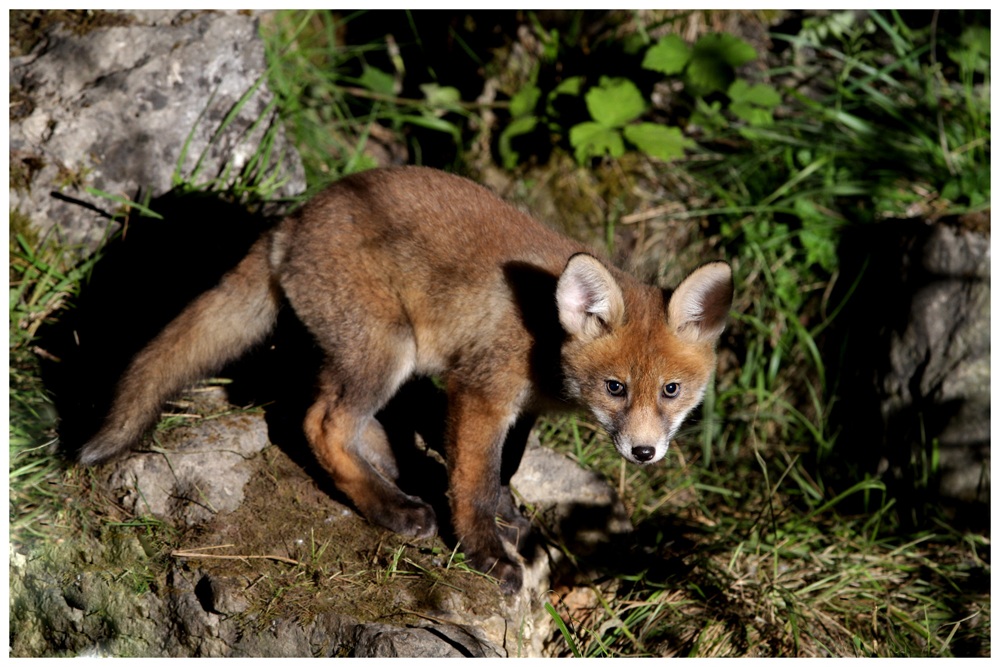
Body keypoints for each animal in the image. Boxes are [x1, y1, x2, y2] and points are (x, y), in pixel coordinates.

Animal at [78, 166, 733, 594]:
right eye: (615, 388)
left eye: (671, 391)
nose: (644, 452)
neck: (546, 339)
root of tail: (293, 220)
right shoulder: (480, 390)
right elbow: (473, 482)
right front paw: (485, 552)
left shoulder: (520, 408)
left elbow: (503, 468)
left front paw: (507, 516)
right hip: (387, 349)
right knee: (319, 422)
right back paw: (392, 508)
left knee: (323, 413)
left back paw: (397, 471)